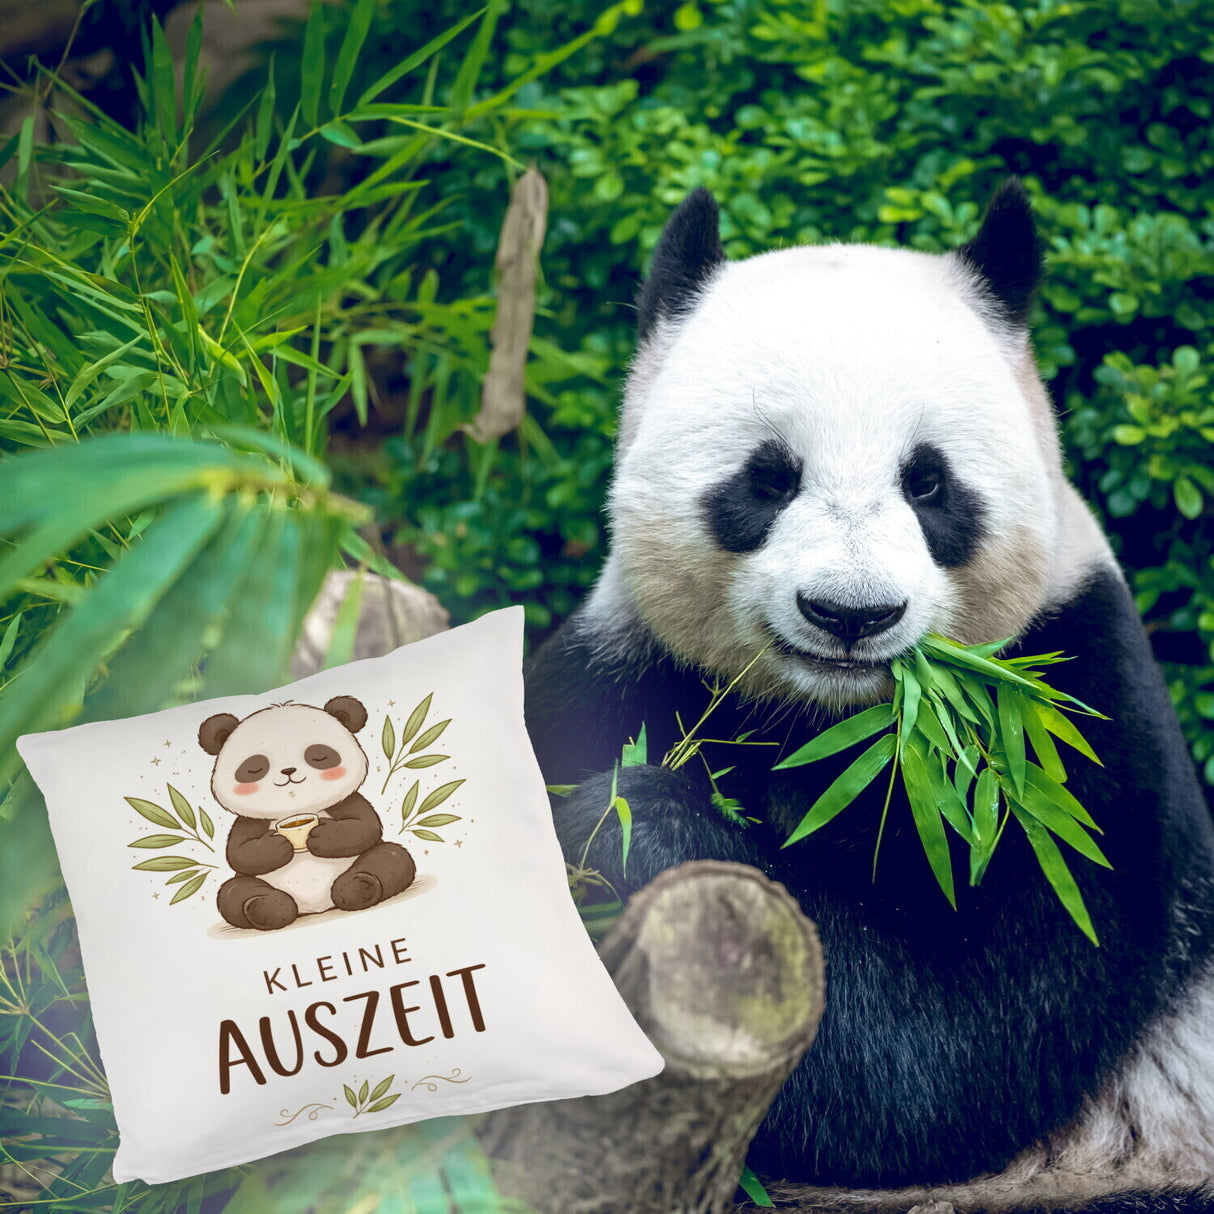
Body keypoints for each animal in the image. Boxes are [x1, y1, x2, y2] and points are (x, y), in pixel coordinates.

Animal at [199, 696, 415, 931]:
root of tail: (315, 908)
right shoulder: (250, 821)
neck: (296, 809)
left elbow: (365, 825)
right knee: (234, 891)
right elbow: (239, 851)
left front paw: (322, 835)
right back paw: (265, 907)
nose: (288, 771)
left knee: (390, 857)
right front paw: (277, 845)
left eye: (319, 755)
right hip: (252, 884)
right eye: (255, 767)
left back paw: (359, 886)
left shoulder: (346, 801)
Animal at [524, 181, 1214, 1211]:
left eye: (929, 482)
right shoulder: (621, 667)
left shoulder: (1065, 736)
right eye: (768, 477)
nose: (851, 614)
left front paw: (636, 824)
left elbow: (946, 1051)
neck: (831, 718)